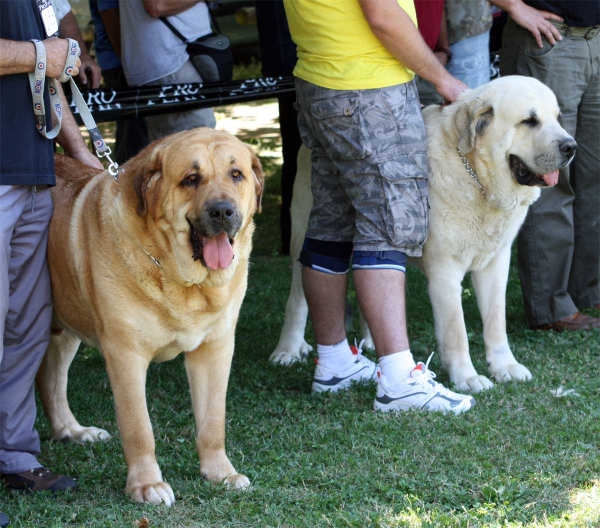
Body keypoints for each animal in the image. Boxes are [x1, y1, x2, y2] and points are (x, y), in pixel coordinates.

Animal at [37, 129, 262, 508]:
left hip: (64, 327)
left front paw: (221, 473)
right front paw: (146, 485)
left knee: (50, 379)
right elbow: (139, 428)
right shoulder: (125, 355)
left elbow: (213, 422)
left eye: (236, 175)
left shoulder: (215, 349)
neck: (183, 281)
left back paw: (73, 431)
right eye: (191, 179)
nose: (223, 210)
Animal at [272, 76, 576, 394]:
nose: (571, 146)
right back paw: (288, 350)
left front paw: (504, 366)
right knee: (298, 299)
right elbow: (456, 330)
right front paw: (467, 377)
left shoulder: (496, 263)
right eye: (529, 121)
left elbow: (495, 321)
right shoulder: (445, 272)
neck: (475, 178)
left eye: (556, 118)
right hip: (305, 235)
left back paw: (370, 341)